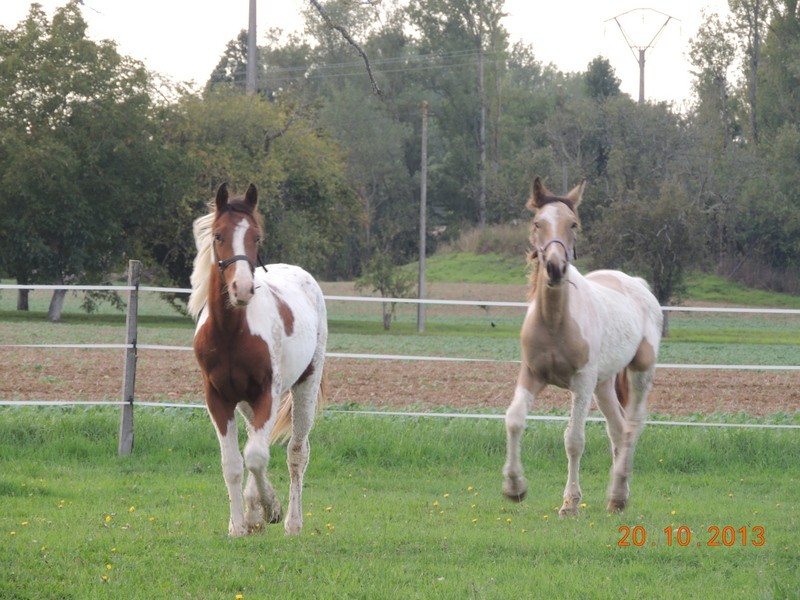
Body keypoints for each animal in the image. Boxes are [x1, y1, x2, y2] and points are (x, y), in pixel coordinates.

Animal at [189, 184, 326, 540]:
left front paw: (271, 508)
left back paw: (292, 522)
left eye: (257, 237)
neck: (231, 333)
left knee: (297, 452)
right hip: (246, 403)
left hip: (305, 385)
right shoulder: (218, 399)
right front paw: (240, 524)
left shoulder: (267, 393)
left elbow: (256, 456)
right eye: (219, 235)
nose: (243, 288)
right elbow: (234, 464)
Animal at [504, 177, 664, 516]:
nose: (555, 268)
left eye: (573, 224)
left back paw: (617, 494)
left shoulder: (581, 382)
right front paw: (514, 487)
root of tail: (637, 284)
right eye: (537, 222)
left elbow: (574, 440)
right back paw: (617, 498)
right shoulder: (531, 375)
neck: (555, 321)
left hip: (639, 372)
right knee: (618, 428)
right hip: (603, 385)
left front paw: (570, 504)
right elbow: (514, 420)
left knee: (631, 427)